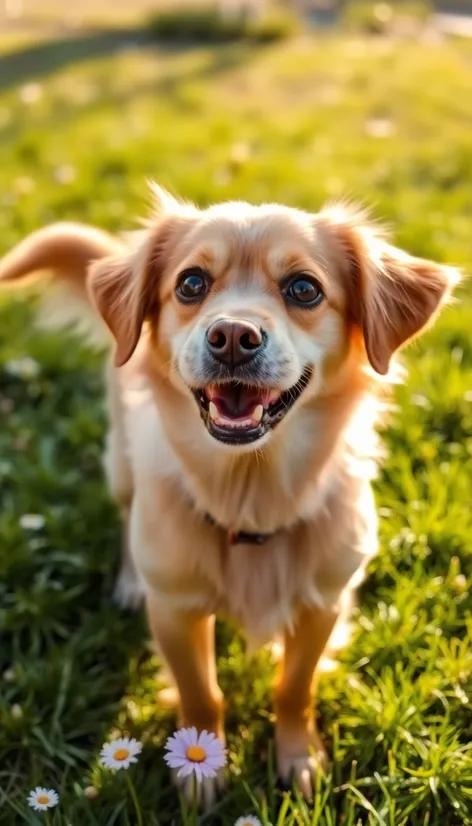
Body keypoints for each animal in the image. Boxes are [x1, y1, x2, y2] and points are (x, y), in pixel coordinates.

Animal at [0, 188, 458, 804]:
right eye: (191, 283)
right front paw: (200, 768)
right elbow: (201, 694)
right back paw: (129, 581)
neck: (251, 496)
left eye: (304, 289)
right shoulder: (175, 609)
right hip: (121, 464)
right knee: (127, 518)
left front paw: (298, 756)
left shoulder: (324, 603)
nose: (233, 336)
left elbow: (294, 687)